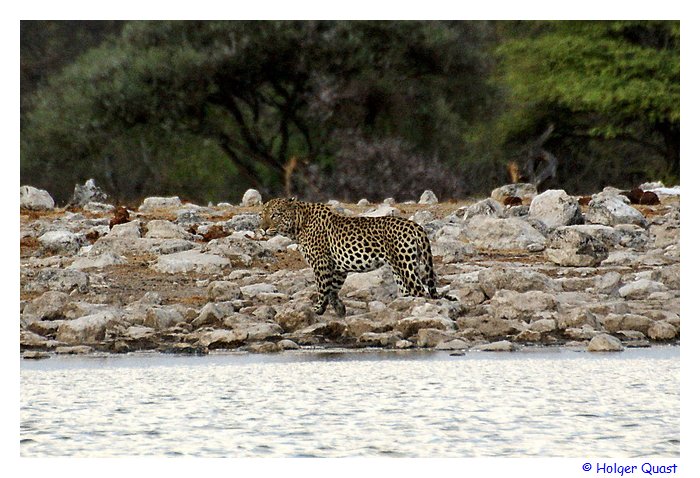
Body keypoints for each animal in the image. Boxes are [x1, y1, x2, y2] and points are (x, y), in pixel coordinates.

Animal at [258, 198, 442, 318]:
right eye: (261, 215)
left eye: (275, 215)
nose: (263, 229)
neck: (299, 224)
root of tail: (416, 226)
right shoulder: (338, 268)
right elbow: (332, 289)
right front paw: (339, 309)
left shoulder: (321, 263)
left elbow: (322, 288)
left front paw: (317, 310)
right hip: (399, 268)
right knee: (408, 291)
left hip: (405, 266)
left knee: (421, 291)